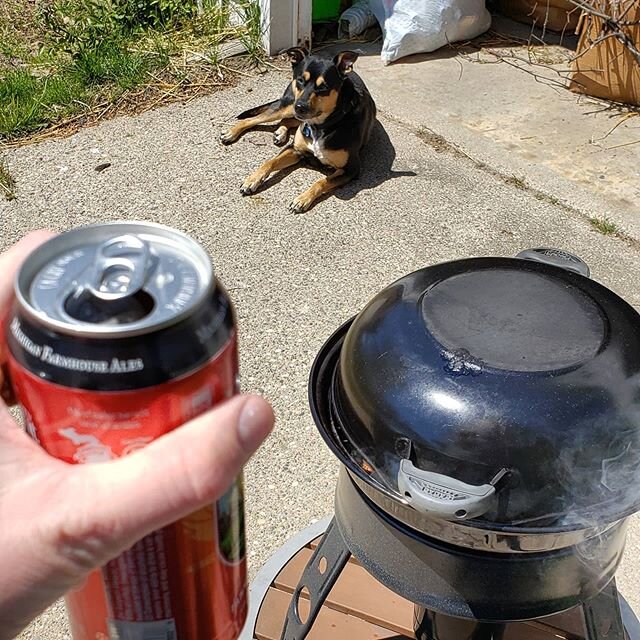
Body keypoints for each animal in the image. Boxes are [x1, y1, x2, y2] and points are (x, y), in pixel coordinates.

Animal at [222, 48, 378, 212]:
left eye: (323, 87)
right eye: (301, 80)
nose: (300, 106)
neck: (322, 125)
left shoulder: (351, 169)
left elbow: (322, 181)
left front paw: (302, 199)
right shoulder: (295, 150)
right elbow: (270, 162)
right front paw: (252, 180)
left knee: (287, 121)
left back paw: (280, 133)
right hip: (287, 107)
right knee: (253, 119)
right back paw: (232, 132)